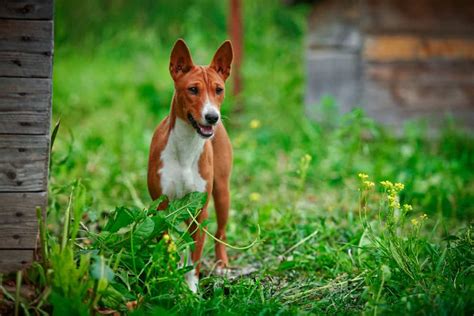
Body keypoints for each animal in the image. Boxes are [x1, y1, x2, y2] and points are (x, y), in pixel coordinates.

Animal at [145, 40, 232, 294]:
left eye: (218, 89)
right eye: (193, 89)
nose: (212, 117)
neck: (186, 148)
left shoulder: (199, 211)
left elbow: (195, 258)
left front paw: (191, 291)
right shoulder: (162, 207)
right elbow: (167, 244)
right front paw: (167, 278)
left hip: (221, 192)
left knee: (220, 232)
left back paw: (222, 265)